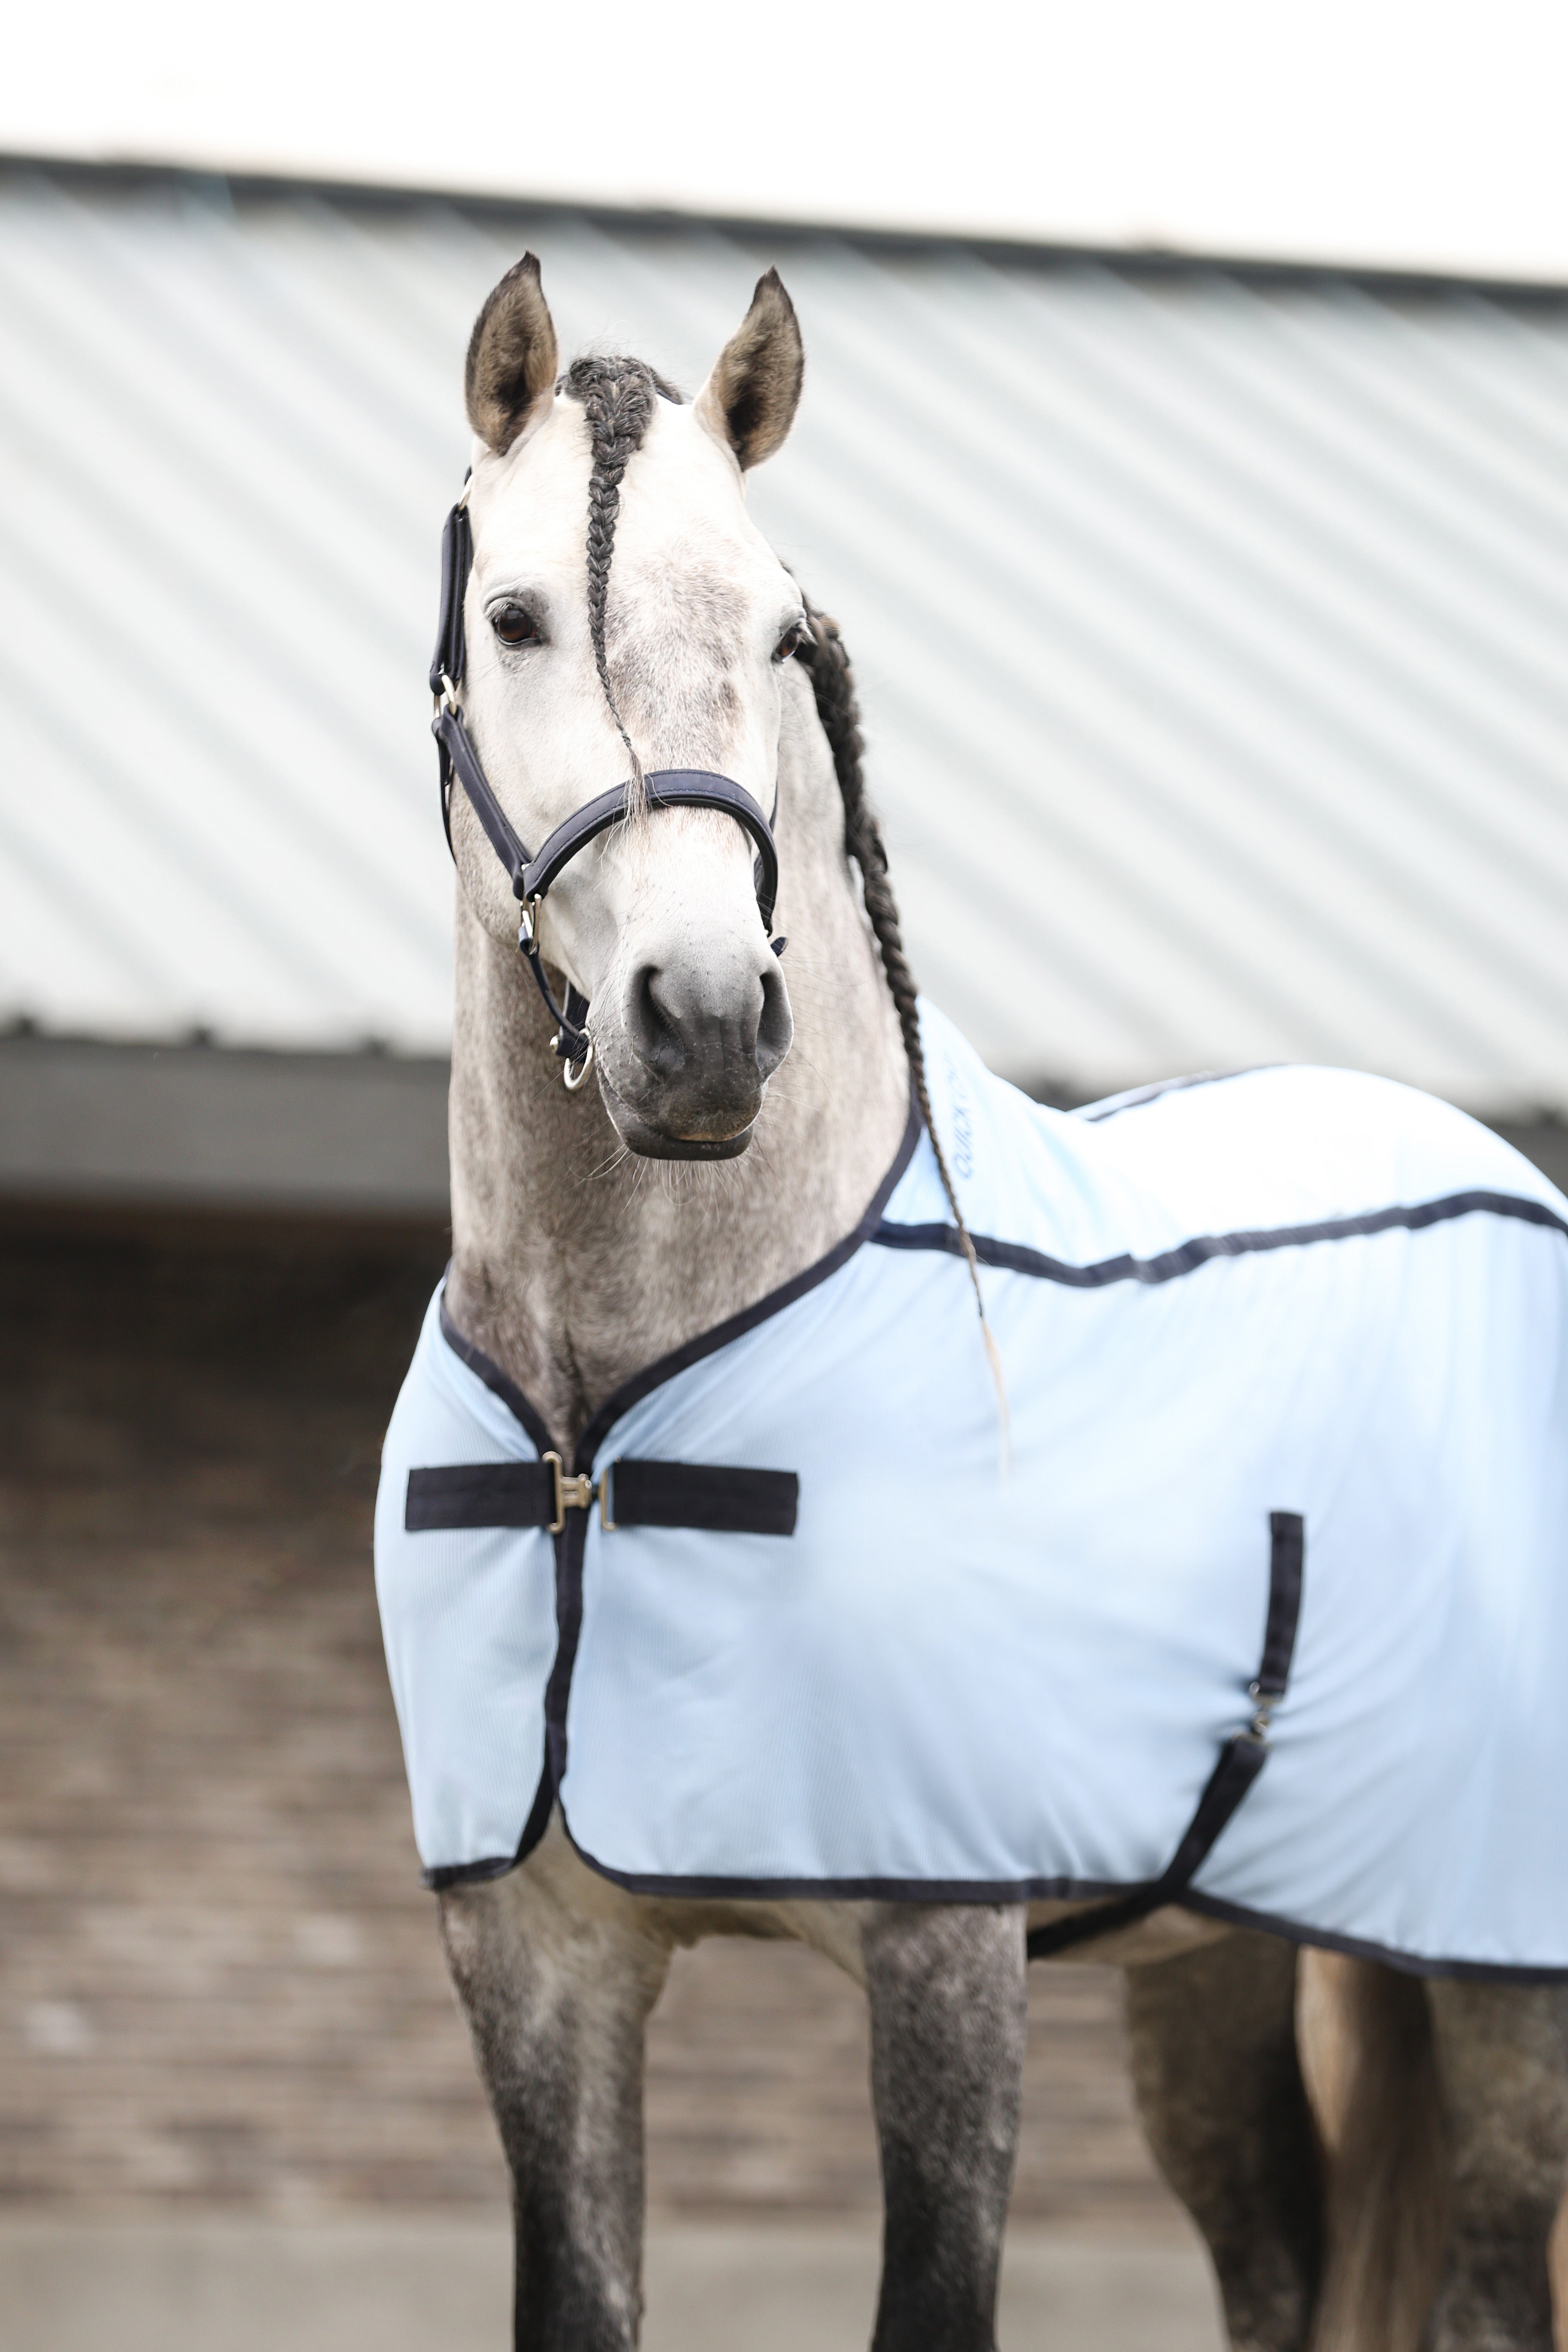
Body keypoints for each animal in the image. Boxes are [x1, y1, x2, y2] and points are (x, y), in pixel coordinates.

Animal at [376, 253, 1568, 2352]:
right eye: (513, 617)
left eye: (780, 630)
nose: (704, 1020)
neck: (602, 1423)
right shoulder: (535, 1962)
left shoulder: (949, 1957)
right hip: (1217, 1965)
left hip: (1503, 1978)